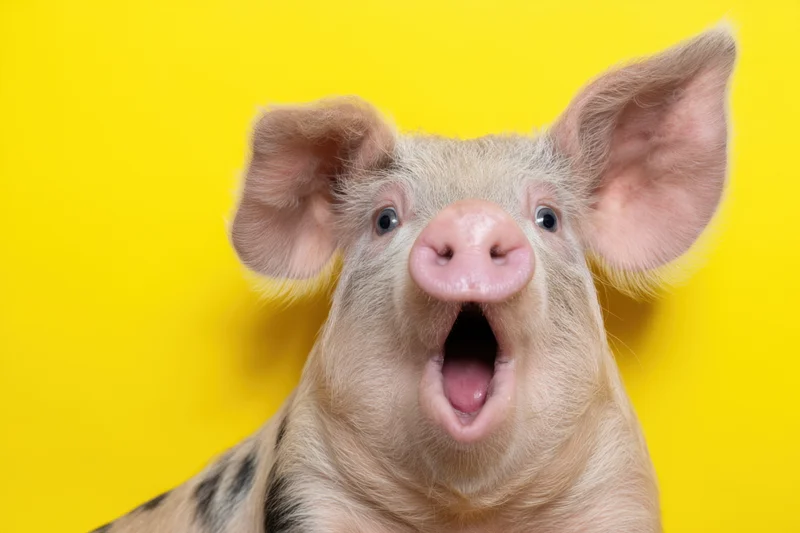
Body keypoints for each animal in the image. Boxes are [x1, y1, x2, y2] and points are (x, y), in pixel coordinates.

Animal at [89, 26, 737, 533]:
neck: (468, 512)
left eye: (548, 218)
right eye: (385, 219)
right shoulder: (307, 487)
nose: (471, 216)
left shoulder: (618, 489)